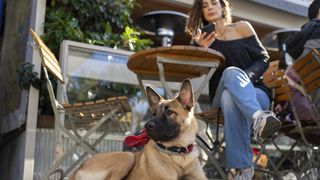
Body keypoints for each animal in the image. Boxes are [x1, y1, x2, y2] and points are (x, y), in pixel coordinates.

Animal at [70, 79, 208, 180]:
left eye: (169, 112)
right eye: (154, 114)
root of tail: (78, 169)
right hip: (127, 157)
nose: (147, 126)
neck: (178, 154)